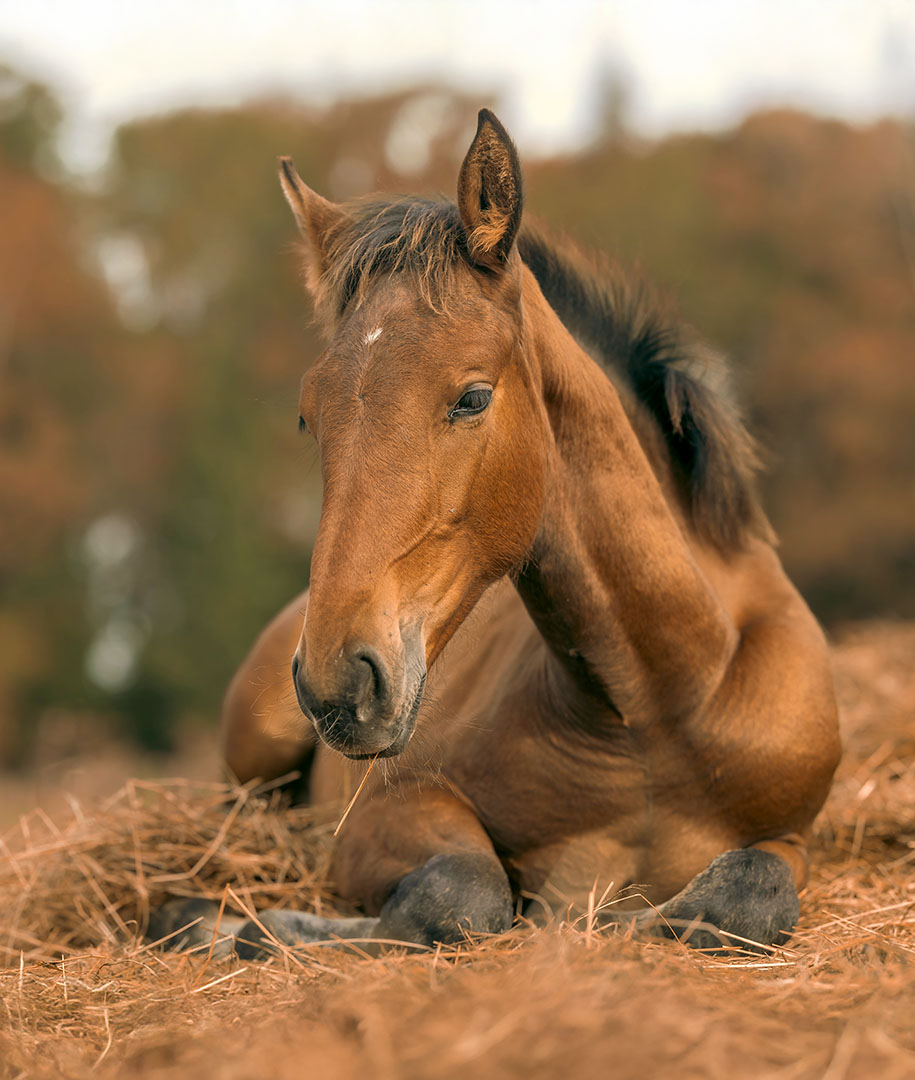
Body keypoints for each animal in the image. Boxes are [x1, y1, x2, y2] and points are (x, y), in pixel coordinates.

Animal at [159, 109, 841, 956]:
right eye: (308, 415)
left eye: (472, 397)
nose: (336, 684)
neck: (659, 708)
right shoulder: (384, 811)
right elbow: (463, 893)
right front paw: (239, 928)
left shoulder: (794, 835)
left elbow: (745, 896)